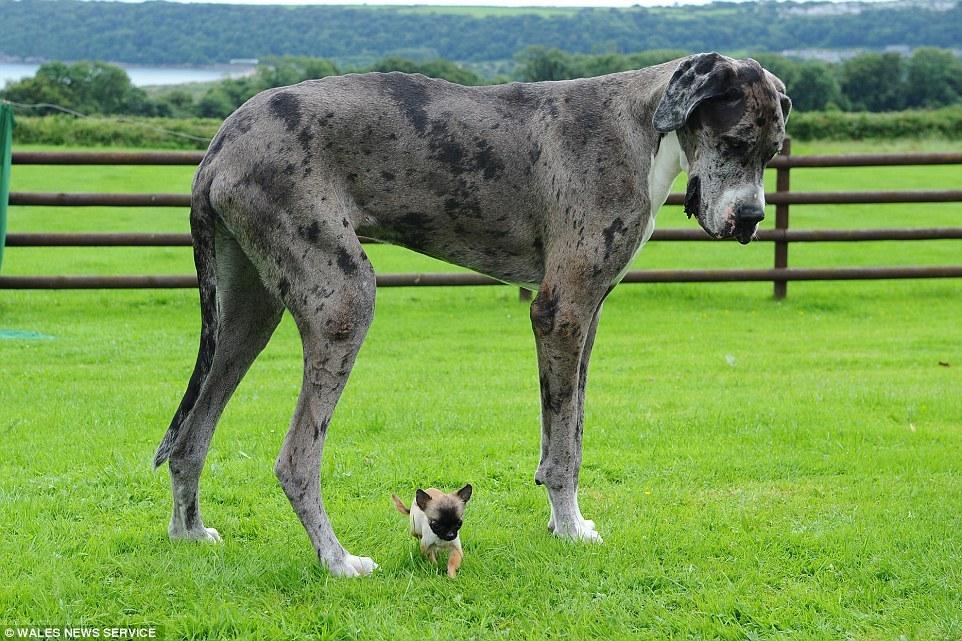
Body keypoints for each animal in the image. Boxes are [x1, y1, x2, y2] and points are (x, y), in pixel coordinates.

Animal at [154, 52, 788, 576]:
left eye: (773, 151)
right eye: (734, 141)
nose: (752, 219)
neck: (642, 125)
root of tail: (222, 140)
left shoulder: (589, 315)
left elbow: (570, 430)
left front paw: (567, 521)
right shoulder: (562, 310)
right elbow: (564, 449)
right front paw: (569, 529)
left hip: (246, 317)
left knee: (190, 436)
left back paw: (189, 535)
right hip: (343, 301)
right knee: (296, 460)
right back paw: (338, 561)